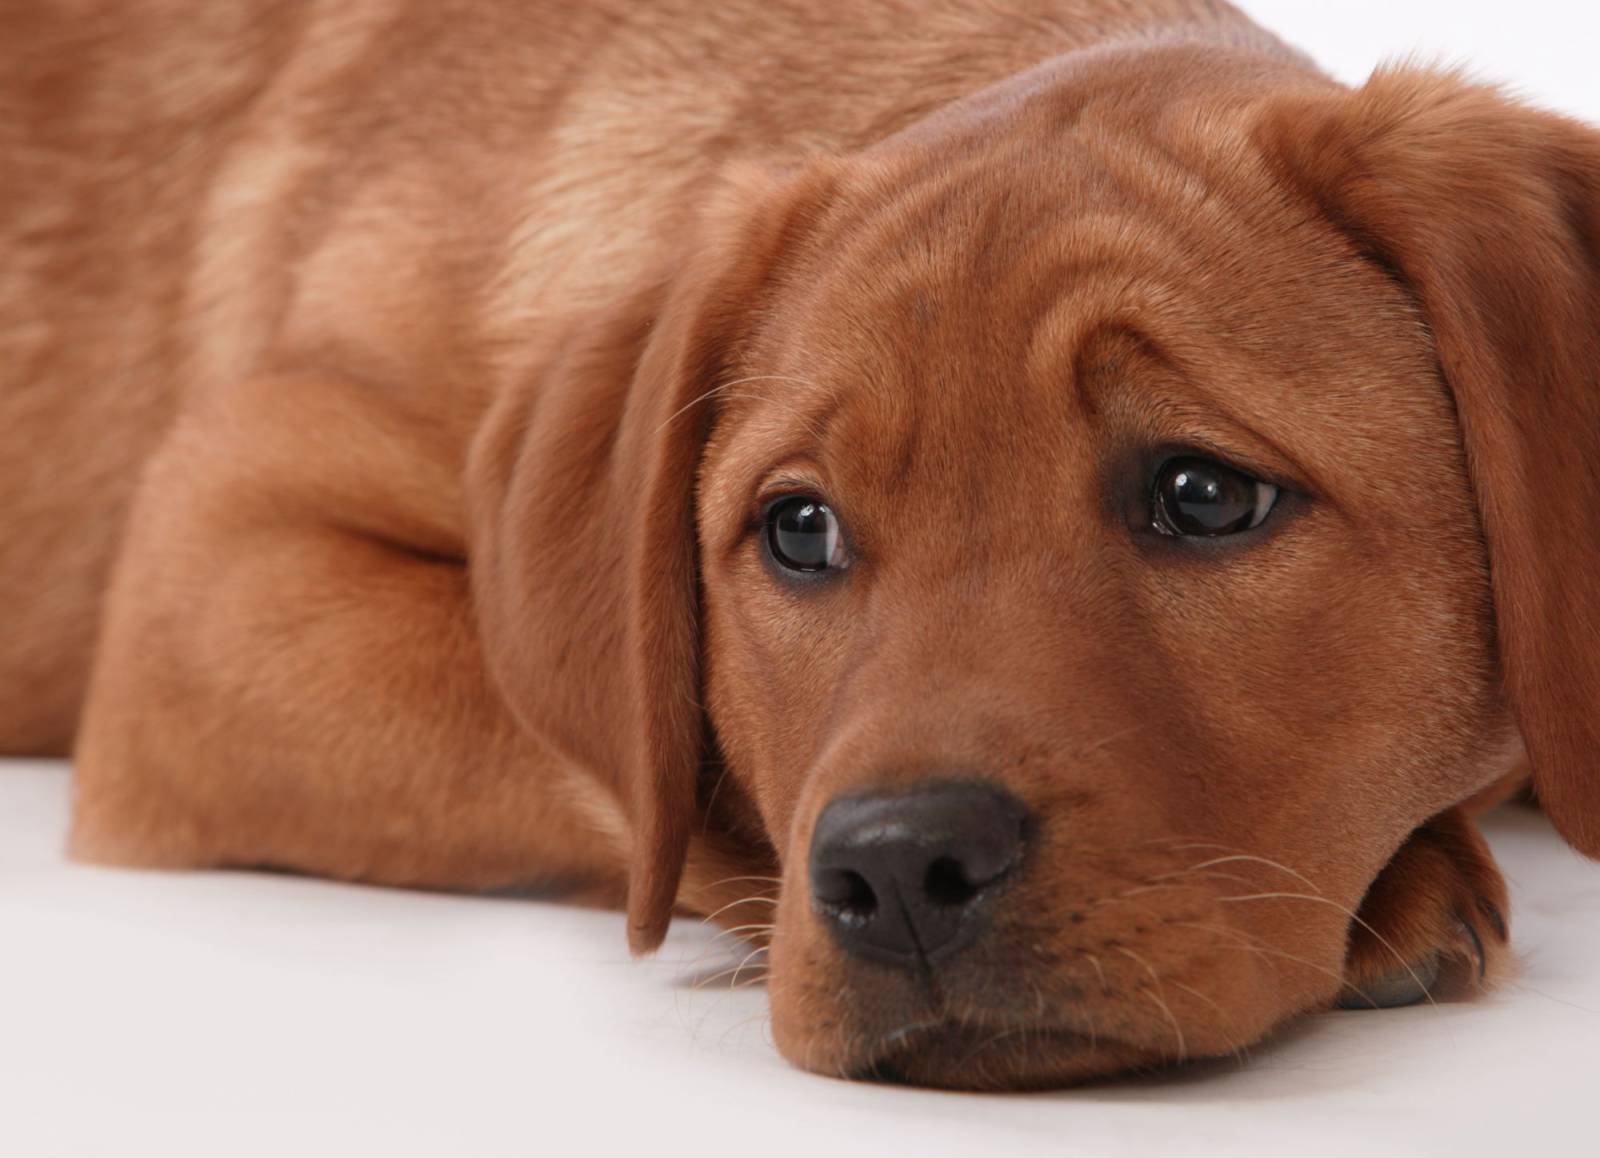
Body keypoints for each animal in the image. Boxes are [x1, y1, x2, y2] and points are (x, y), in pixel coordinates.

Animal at [3, 0, 1600, 1087]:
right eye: (799, 529)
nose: (900, 872)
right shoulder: (213, 558)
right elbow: (613, 759)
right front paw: (1409, 877)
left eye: (1205, 496)